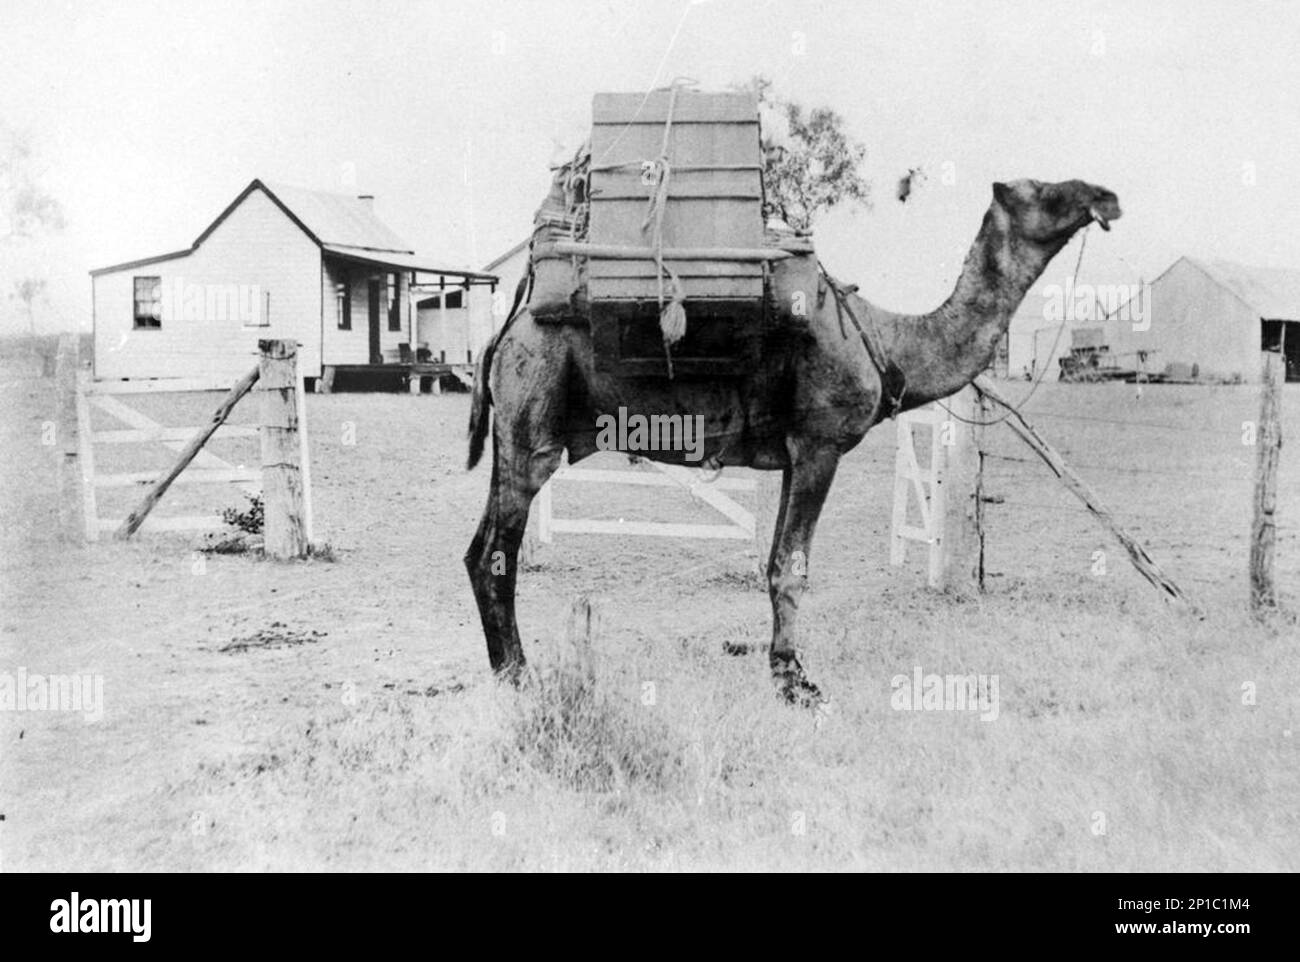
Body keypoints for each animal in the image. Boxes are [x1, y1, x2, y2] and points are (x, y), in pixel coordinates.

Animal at [465, 176, 1118, 702]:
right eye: (1044, 190)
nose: (1106, 196)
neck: (887, 341)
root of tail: (505, 328)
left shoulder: (790, 455)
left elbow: (777, 561)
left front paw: (783, 670)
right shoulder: (820, 444)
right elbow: (793, 567)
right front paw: (796, 682)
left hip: (511, 434)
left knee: (478, 550)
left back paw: (508, 671)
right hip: (534, 416)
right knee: (498, 552)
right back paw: (520, 678)